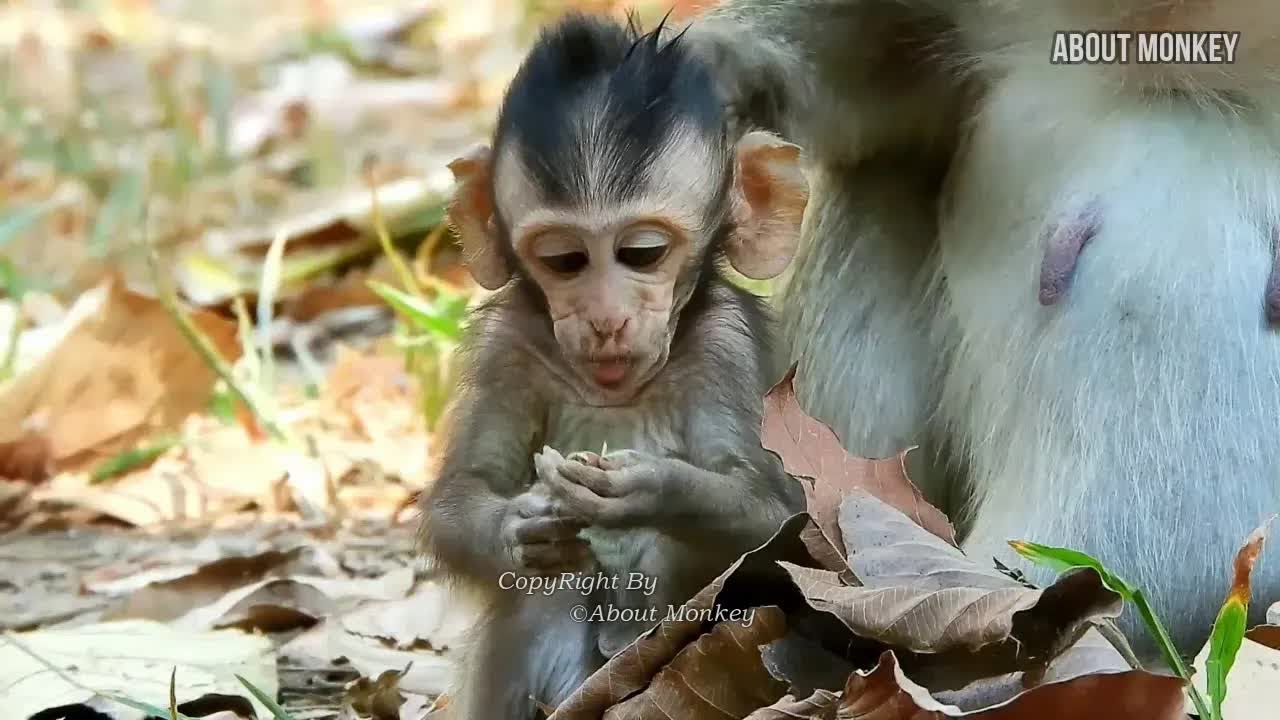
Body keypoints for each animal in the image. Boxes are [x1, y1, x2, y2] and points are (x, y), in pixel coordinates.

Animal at [418, 14, 809, 719]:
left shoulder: (726, 345)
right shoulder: (506, 346)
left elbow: (780, 517)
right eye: (566, 260)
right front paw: (522, 524)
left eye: (642, 253)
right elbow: (464, 491)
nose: (606, 320)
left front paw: (652, 488)